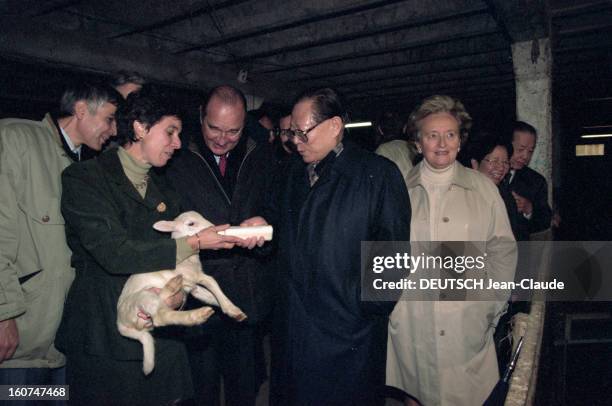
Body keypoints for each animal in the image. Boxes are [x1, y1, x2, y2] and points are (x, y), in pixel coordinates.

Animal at [117, 213, 246, 374]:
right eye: (191, 224)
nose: (213, 227)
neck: (188, 260)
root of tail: (121, 324)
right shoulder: (195, 277)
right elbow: (212, 282)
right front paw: (232, 309)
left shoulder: (193, 288)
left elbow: (210, 296)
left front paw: (232, 310)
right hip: (145, 297)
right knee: (161, 317)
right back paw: (196, 315)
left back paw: (172, 287)